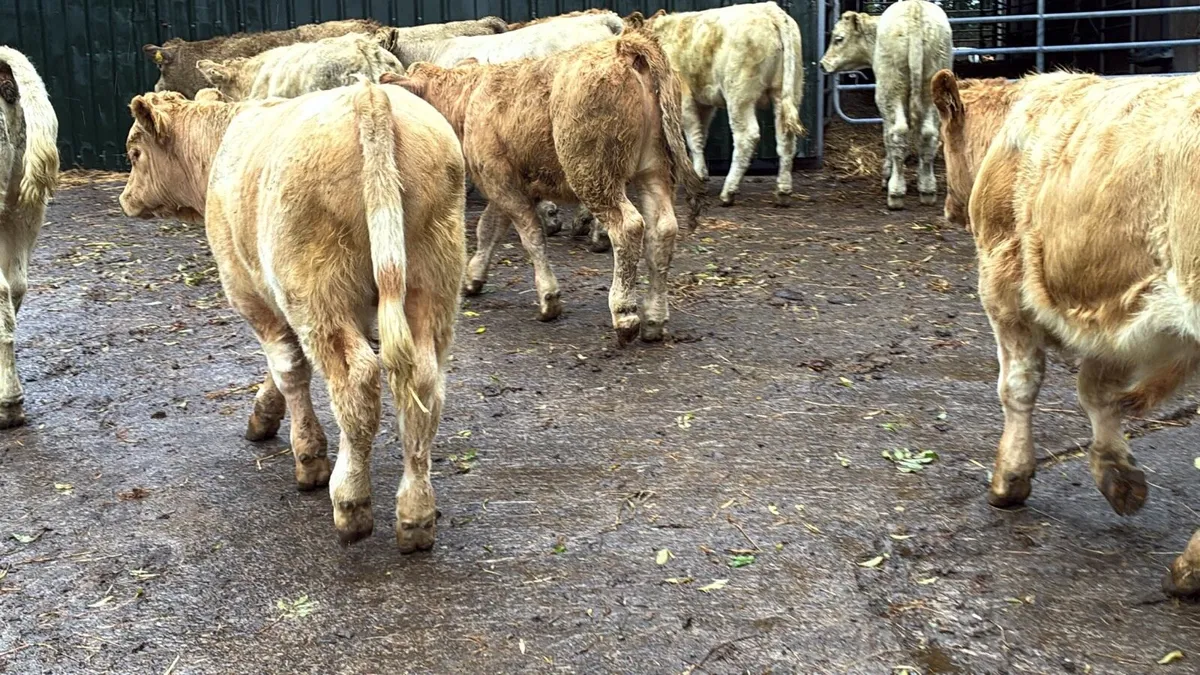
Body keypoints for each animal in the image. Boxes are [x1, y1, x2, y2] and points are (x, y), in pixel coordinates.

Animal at [118, 82, 467, 551]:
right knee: (423, 385)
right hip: (431, 285)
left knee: (355, 382)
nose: (126, 198)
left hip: (317, 294)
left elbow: (288, 367)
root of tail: (369, 92)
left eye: (134, 152)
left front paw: (308, 455)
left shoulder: (250, 291)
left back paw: (350, 502)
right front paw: (264, 414)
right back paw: (416, 516)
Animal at [381, 29, 704, 344]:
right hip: (654, 171)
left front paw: (549, 298)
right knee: (663, 230)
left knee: (628, 227)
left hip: (595, 175)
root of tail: (624, 47)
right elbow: (488, 230)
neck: (469, 99)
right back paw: (654, 318)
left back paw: (625, 313)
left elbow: (531, 236)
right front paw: (473, 277)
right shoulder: (504, 186)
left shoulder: (503, 186)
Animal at [640, 1, 804, 207]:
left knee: (746, 136)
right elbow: (701, 134)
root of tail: (770, 10)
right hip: (786, 92)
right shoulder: (704, 102)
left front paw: (698, 178)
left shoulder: (683, 98)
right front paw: (701, 174)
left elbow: (693, 137)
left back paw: (729, 192)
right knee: (785, 137)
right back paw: (783, 191)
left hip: (739, 95)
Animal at [820, 0, 953, 210]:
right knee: (928, 134)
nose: (822, 64)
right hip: (930, 86)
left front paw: (887, 175)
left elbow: (887, 136)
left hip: (890, 90)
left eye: (839, 39)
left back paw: (895, 192)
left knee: (898, 133)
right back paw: (927, 188)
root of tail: (915, 9)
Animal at [931, 68, 1200, 598]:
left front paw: (1010, 478)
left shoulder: (1002, 282)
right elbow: (1098, 391)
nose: (949, 206)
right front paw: (1118, 475)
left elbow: (1019, 384)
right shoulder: (1115, 315)